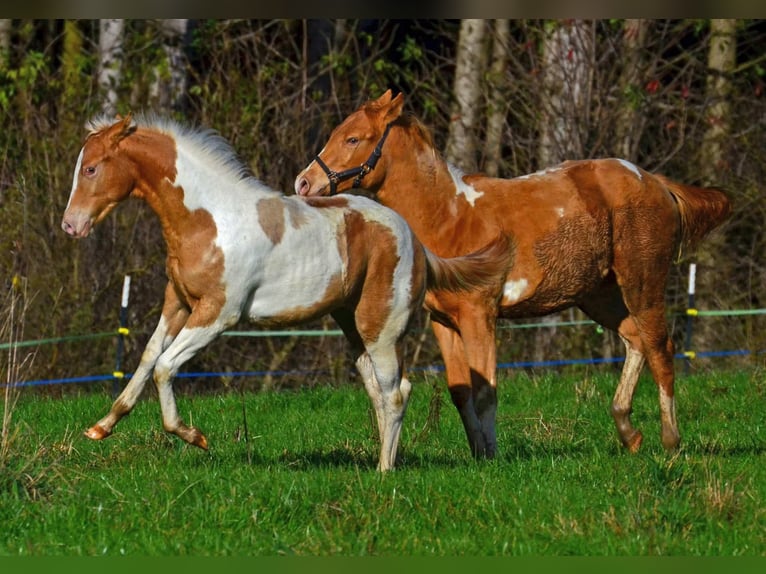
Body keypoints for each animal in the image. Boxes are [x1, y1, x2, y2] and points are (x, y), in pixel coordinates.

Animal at [61, 113, 511, 471]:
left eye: (92, 169)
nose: (71, 225)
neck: (209, 219)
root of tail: (416, 242)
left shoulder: (218, 313)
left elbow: (165, 367)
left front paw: (194, 436)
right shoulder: (179, 303)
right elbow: (147, 358)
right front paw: (100, 427)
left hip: (381, 327)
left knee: (396, 392)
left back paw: (384, 473)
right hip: (352, 326)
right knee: (378, 390)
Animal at [294, 90, 732, 459]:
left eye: (354, 139)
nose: (304, 183)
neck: (449, 215)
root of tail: (655, 180)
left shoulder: (480, 315)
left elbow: (485, 390)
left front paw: (491, 457)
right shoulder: (444, 322)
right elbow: (460, 391)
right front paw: (477, 453)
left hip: (642, 280)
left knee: (660, 346)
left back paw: (670, 440)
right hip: (599, 295)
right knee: (635, 341)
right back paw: (629, 432)